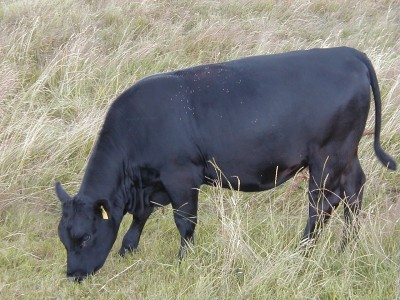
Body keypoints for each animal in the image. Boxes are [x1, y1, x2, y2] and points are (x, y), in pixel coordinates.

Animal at [56, 46, 396, 282]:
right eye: (63, 238)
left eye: (85, 237)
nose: (73, 275)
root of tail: (347, 53)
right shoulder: (154, 183)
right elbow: (142, 215)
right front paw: (128, 248)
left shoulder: (181, 176)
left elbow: (184, 221)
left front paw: (183, 260)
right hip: (346, 153)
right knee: (354, 190)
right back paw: (345, 247)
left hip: (327, 157)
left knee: (323, 205)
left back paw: (304, 251)